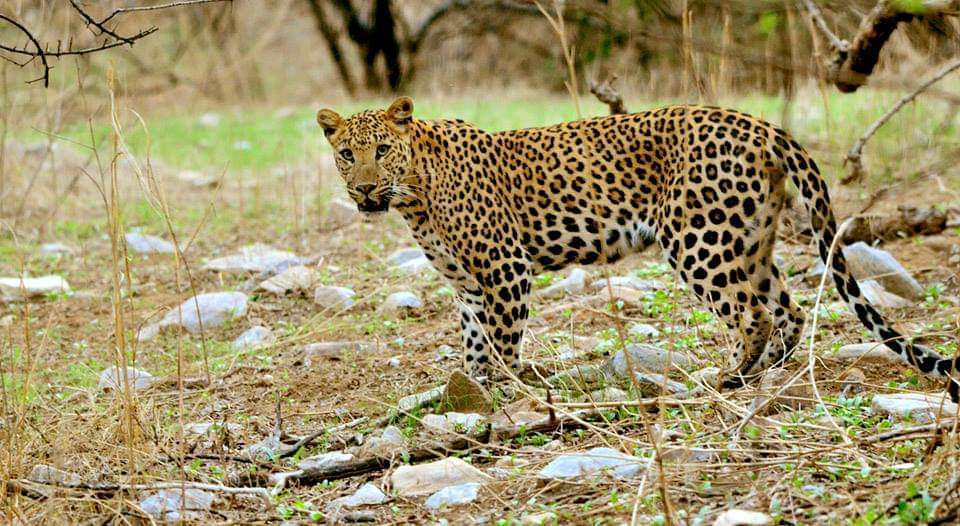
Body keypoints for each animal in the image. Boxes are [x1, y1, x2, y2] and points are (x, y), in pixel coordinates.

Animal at [316, 97, 960, 398]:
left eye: (381, 150)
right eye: (347, 154)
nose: (365, 189)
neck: (414, 195)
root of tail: (761, 125)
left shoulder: (504, 268)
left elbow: (502, 343)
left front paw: (510, 393)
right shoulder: (470, 286)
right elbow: (475, 345)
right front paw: (473, 394)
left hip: (698, 238)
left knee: (751, 311)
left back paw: (725, 376)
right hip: (749, 237)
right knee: (788, 308)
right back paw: (763, 373)